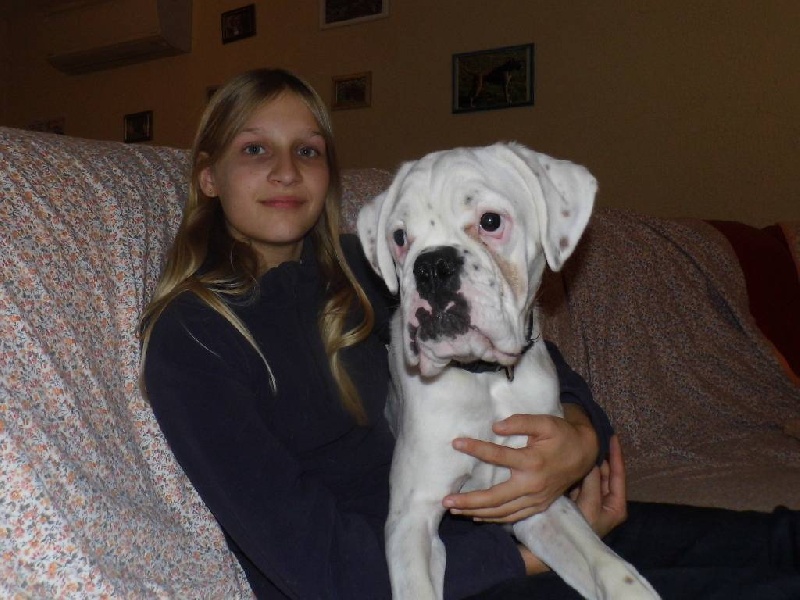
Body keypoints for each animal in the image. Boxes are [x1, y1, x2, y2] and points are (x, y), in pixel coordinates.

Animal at [357, 143, 660, 600]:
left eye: (490, 221)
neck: (487, 378)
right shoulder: (412, 519)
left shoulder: (536, 498)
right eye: (399, 237)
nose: (431, 266)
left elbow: (607, 565)